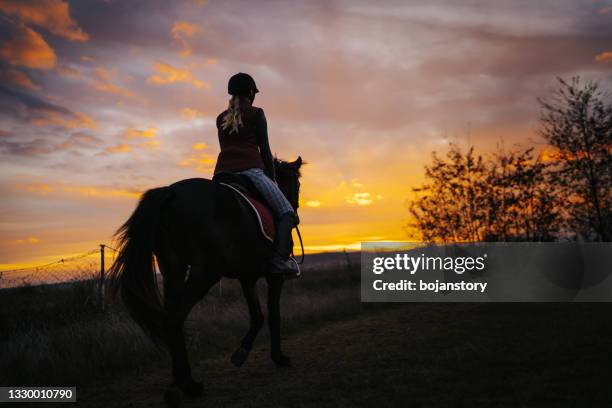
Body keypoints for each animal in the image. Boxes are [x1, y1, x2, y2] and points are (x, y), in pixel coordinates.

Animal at [108, 157, 304, 404]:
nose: (295, 211)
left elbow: (257, 316)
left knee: (169, 317)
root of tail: (170, 192)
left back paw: (179, 383)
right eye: (297, 184)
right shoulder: (274, 276)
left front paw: (241, 353)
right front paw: (279, 358)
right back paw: (189, 385)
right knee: (175, 319)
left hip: (173, 269)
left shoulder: (247, 276)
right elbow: (273, 315)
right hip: (205, 272)